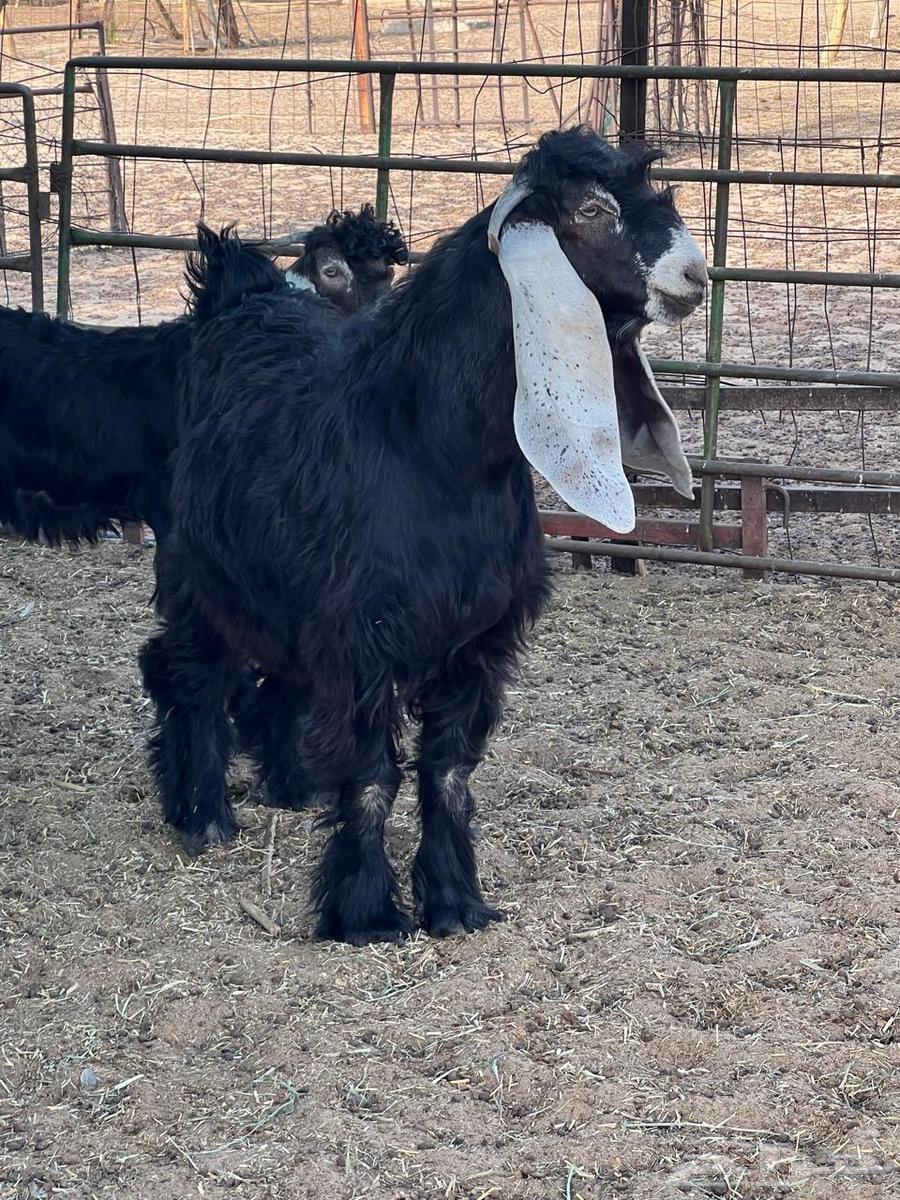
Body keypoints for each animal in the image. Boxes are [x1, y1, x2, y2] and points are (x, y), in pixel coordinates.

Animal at [142, 127, 708, 945]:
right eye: (592, 210)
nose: (695, 274)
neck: (429, 444)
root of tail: (240, 296)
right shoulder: (361, 638)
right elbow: (374, 777)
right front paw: (364, 911)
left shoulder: (474, 641)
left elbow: (448, 775)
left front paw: (453, 901)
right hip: (198, 571)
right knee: (188, 674)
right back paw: (202, 810)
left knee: (273, 677)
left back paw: (290, 785)